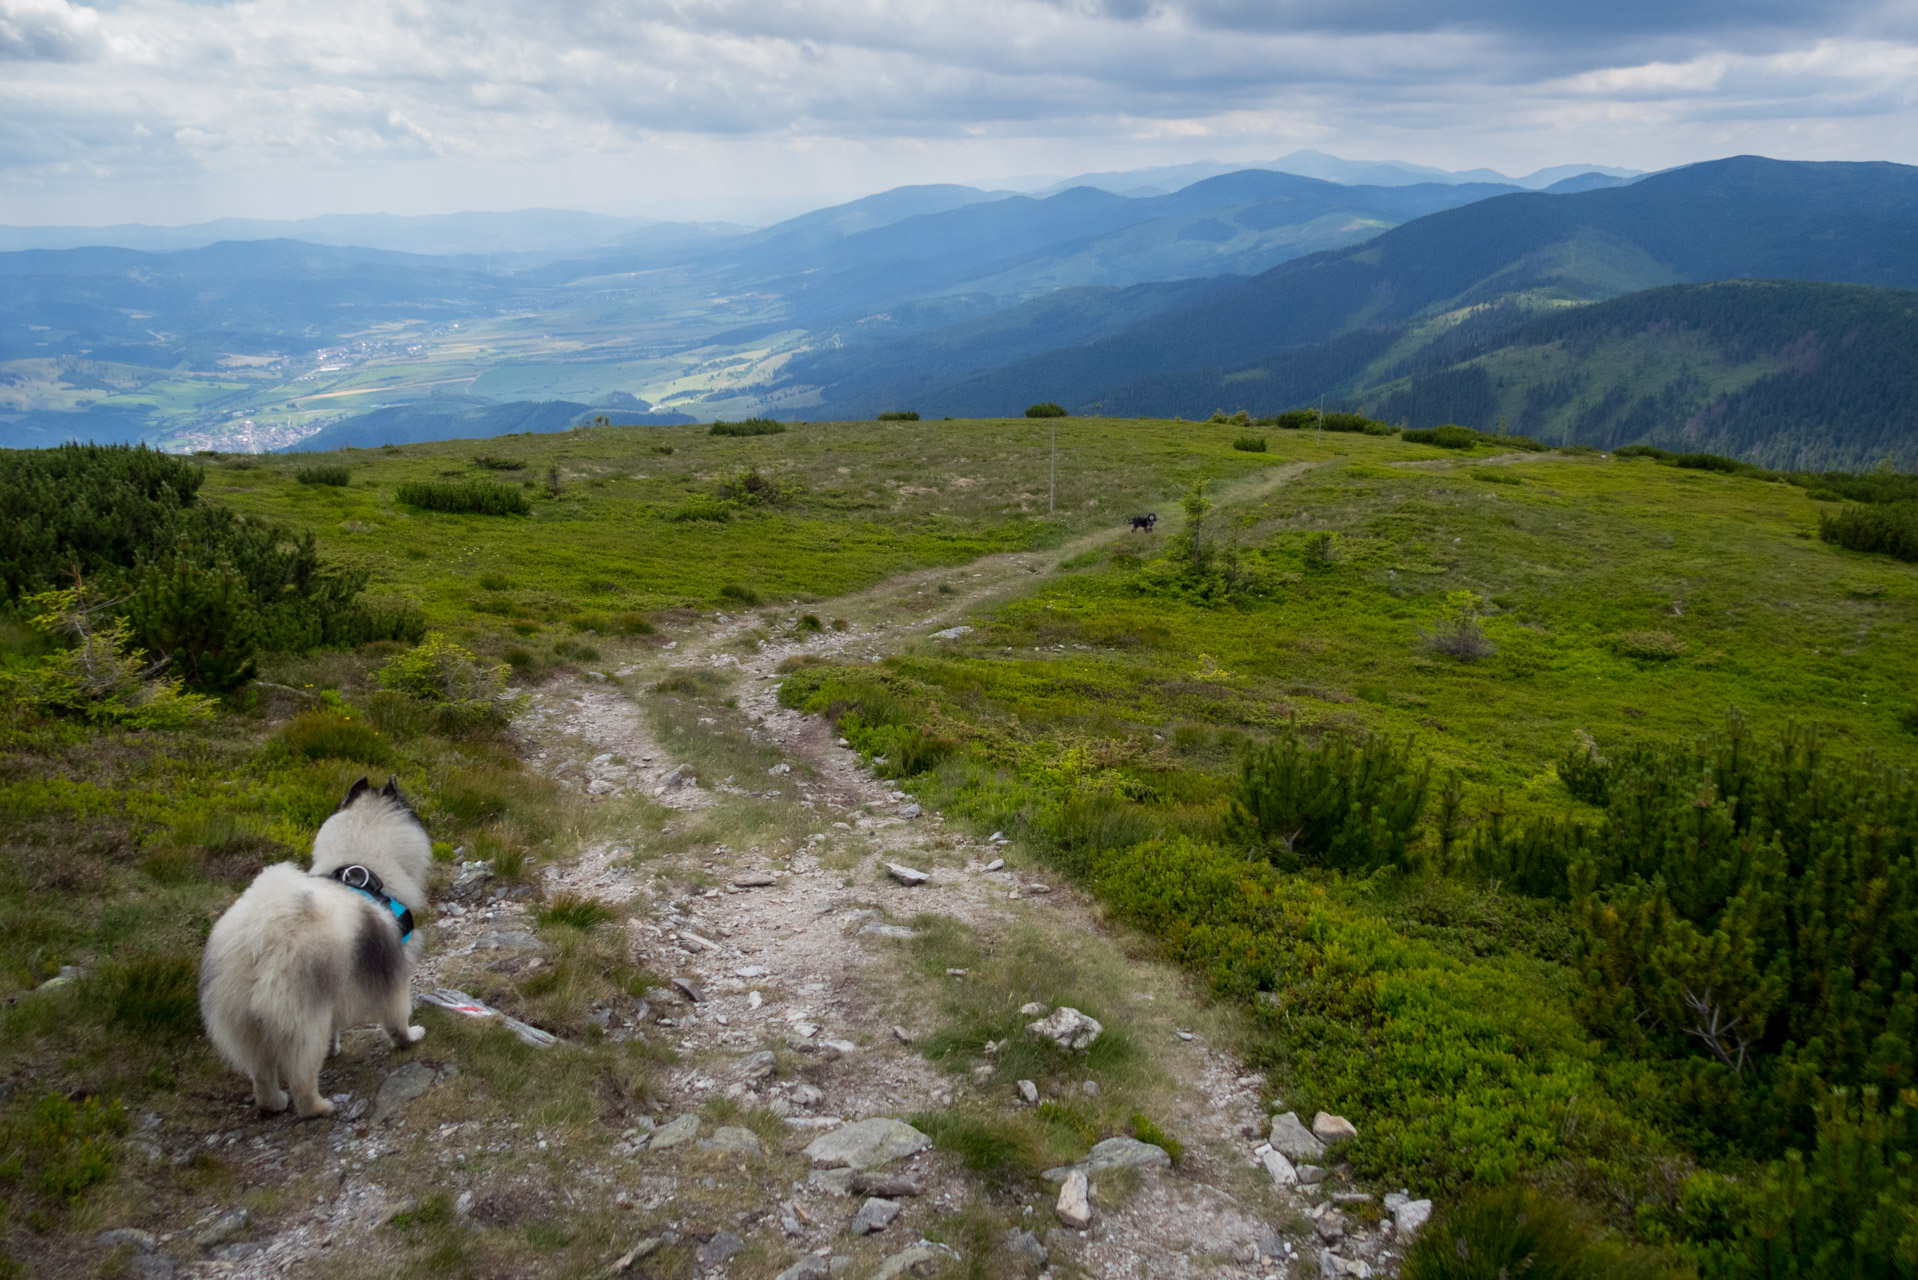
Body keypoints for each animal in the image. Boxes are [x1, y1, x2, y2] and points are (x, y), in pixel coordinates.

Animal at [199, 775, 431, 1113]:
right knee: (301, 1078)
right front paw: (411, 1038)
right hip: (303, 1023)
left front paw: (335, 1048)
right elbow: (397, 1019)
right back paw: (320, 1108)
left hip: (245, 1024)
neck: (364, 868)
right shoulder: (393, 975)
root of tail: (259, 934)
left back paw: (274, 1103)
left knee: (262, 1075)